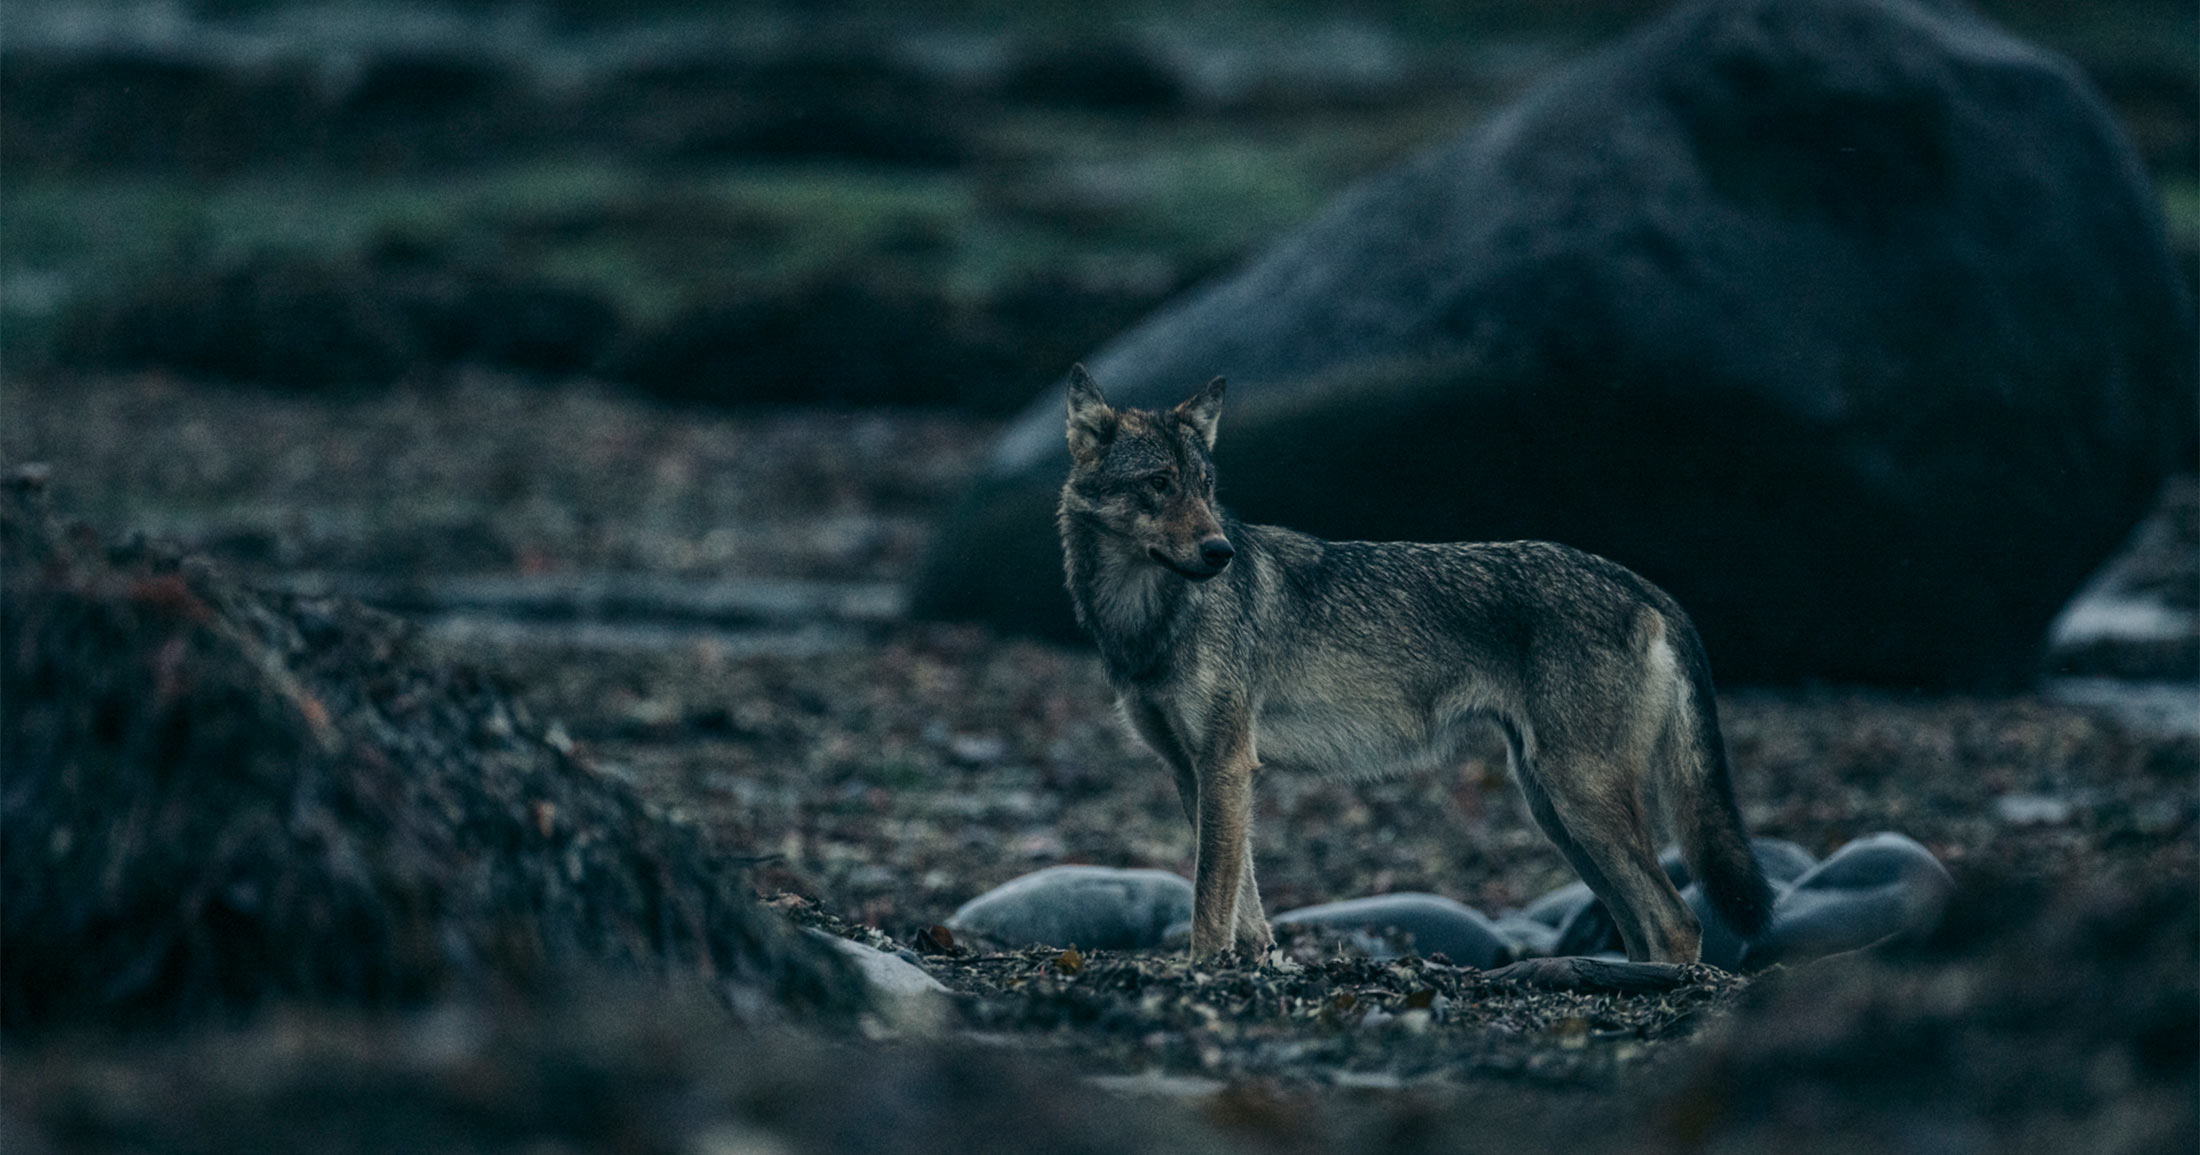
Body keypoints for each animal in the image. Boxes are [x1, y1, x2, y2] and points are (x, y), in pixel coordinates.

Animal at [1055, 364, 1775, 962]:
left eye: (1206, 488)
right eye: (1159, 485)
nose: (1219, 551)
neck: (1147, 620)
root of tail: (1644, 586)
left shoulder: (1226, 765)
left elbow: (1210, 902)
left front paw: (1204, 973)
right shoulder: (1195, 772)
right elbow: (1247, 907)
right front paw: (1252, 968)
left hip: (1580, 797)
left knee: (1676, 922)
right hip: (1556, 808)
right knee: (1644, 926)